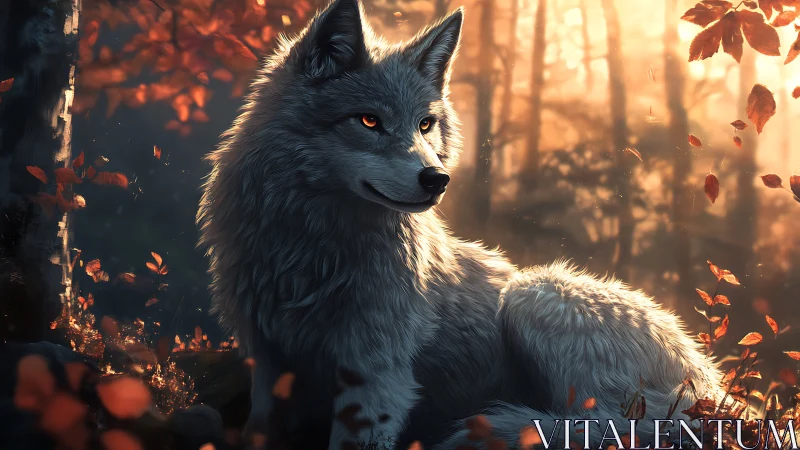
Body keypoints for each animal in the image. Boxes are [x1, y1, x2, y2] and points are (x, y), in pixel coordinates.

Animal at [197, 0, 724, 448]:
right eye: (369, 122)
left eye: (425, 124)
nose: (437, 179)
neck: (311, 251)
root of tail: (712, 388)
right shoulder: (266, 362)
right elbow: (259, 428)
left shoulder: (377, 378)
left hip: (534, 297)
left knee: (596, 424)